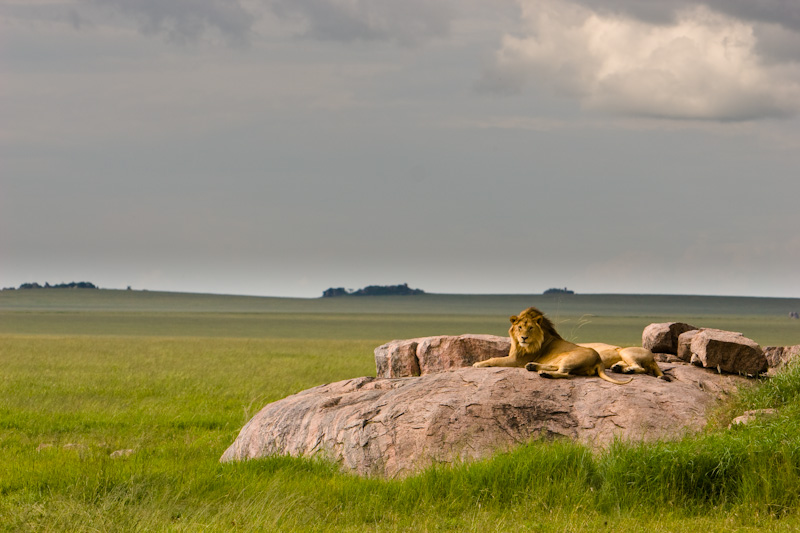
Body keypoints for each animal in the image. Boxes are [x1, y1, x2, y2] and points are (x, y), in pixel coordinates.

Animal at [468, 306, 632, 384]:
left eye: (530, 328)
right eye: (519, 327)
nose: (524, 338)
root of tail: (599, 361)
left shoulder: (516, 360)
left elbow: (495, 358)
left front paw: (478, 363)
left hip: (571, 358)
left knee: (565, 373)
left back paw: (544, 373)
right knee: (557, 368)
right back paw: (532, 366)